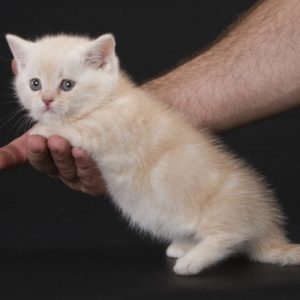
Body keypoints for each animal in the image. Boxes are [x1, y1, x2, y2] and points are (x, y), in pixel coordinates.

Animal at [4, 32, 300, 274]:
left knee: (230, 236)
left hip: (225, 211)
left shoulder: (108, 128)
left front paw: (40, 131)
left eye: (67, 85)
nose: (46, 101)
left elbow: (73, 127)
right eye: (34, 84)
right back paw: (183, 246)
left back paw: (191, 262)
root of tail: (268, 226)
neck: (109, 100)